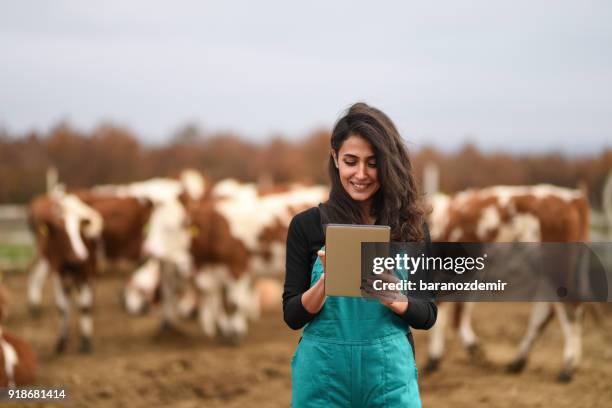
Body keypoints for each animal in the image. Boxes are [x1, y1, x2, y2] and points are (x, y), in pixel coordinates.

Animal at [27, 191, 103, 354]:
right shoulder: (57, 273)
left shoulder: (86, 273)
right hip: (44, 257)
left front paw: (86, 342)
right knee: (37, 273)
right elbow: (62, 308)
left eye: (80, 232)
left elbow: (85, 307)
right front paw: (61, 342)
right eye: (61, 233)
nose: (81, 255)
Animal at [426, 185, 588, 382]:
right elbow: (459, 314)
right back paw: (517, 362)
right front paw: (473, 350)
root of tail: (572, 198)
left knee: (570, 309)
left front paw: (434, 359)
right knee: (543, 313)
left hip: (555, 269)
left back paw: (568, 367)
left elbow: (444, 315)